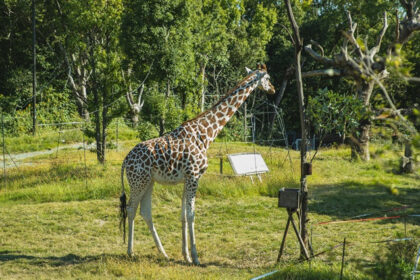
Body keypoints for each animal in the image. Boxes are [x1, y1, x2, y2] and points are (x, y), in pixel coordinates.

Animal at [120, 63, 274, 264]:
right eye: (268, 77)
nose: (273, 89)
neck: (206, 134)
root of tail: (125, 160)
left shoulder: (187, 177)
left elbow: (184, 215)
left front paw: (185, 255)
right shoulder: (194, 175)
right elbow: (192, 214)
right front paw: (195, 257)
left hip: (149, 181)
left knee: (145, 212)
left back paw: (163, 253)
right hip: (138, 181)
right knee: (131, 209)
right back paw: (130, 252)